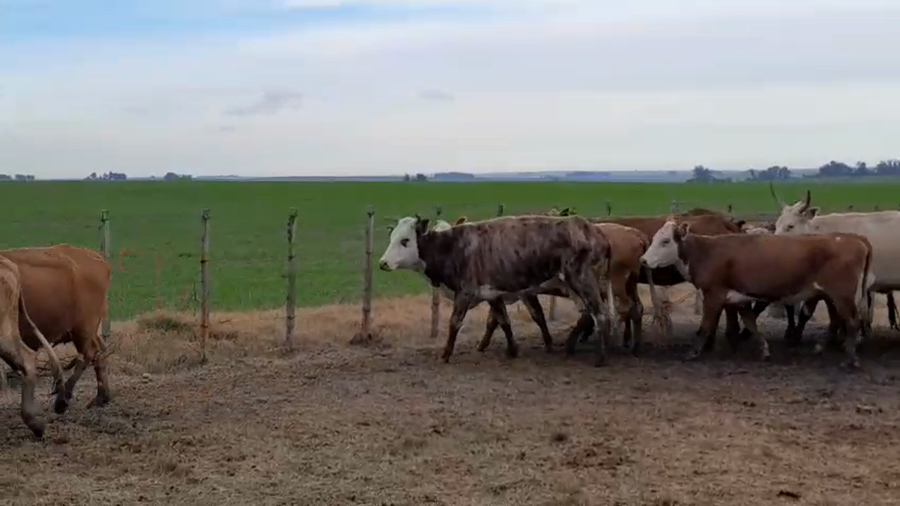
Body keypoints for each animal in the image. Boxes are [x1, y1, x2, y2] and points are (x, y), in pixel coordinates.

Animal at [0, 244, 112, 414]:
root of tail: (97, 259)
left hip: (83, 328)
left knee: (88, 354)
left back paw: (62, 400)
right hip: (88, 330)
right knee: (100, 353)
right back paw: (101, 397)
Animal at [379, 215, 617, 366]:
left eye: (405, 240)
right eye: (391, 238)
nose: (382, 263)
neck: (453, 246)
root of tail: (596, 232)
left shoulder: (465, 292)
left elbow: (455, 323)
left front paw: (446, 354)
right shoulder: (492, 294)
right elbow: (503, 321)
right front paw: (512, 350)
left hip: (583, 281)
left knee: (601, 314)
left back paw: (601, 358)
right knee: (589, 315)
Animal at [640, 219, 873, 368]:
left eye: (665, 241)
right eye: (655, 239)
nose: (643, 260)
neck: (707, 252)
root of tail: (855, 239)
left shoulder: (714, 295)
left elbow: (704, 327)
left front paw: (692, 352)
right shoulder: (739, 298)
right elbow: (750, 322)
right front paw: (764, 349)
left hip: (842, 295)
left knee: (853, 321)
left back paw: (850, 359)